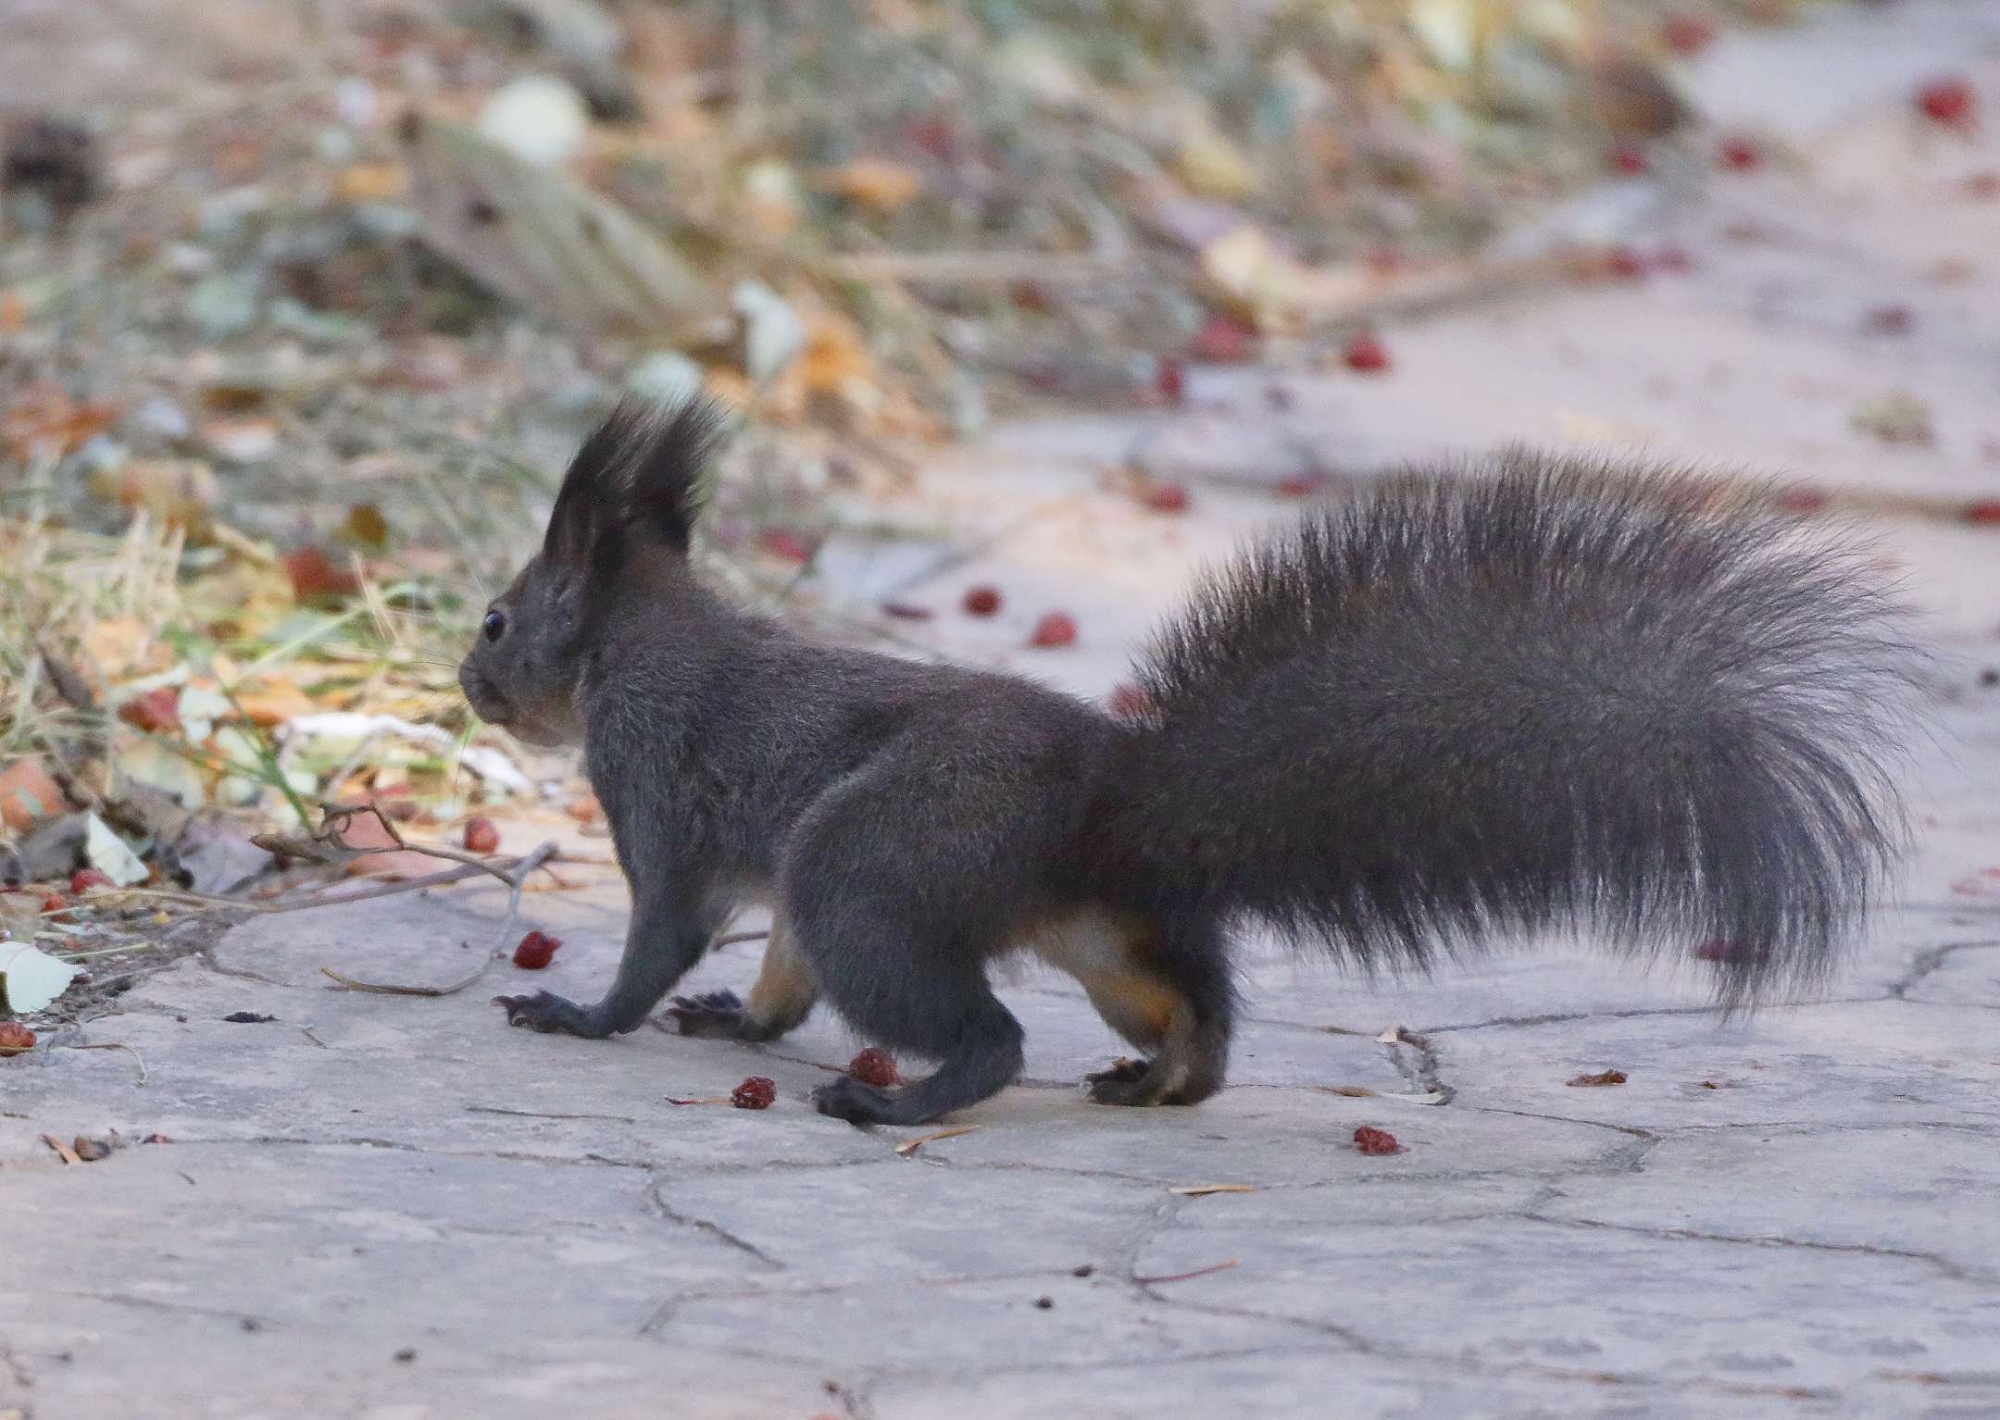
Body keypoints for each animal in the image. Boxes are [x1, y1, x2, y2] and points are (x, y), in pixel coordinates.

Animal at [464, 398, 1920, 1120]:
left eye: (495, 619)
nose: (469, 682)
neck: (646, 641)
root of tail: (1112, 806)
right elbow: (778, 968)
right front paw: (739, 1019)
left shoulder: (656, 787)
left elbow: (665, 930)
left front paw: (584, 1013)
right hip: (1094, 935)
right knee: (1192, 1005)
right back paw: (1163, 1078)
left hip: (873, 859)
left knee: (983, 1030)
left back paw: (908, 1102)